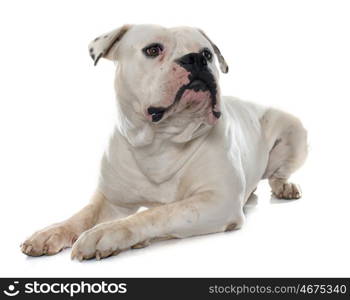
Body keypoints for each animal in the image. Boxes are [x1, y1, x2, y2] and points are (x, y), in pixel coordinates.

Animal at [21, 25, 306, 260]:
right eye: (153, 49)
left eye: (207, 54)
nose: (195, 58)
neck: (161, 140)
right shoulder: (112, 199)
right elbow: (83, 214)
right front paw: (50, 232)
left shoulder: (218, 201)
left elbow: (157, 213)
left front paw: (108, 233)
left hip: (296, 133)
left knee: (278, 173)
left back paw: (285, 187)